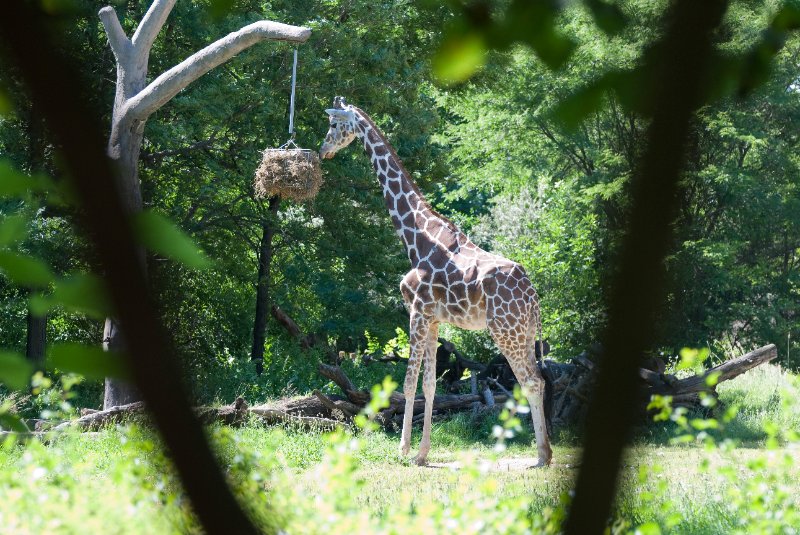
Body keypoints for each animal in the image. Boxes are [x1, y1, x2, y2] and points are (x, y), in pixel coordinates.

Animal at [319, 96, 552, 467]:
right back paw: (546, 453)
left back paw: (542, 456)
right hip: (525, 332)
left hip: (505, 330)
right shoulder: (433, 320)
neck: (416, 238)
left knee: (530, 382)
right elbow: (429, 385)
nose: (323, 150)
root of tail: (532, 295)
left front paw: (402, 450)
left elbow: (408, 384)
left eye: (332, 125)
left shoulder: (416, 312)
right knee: (539, 380)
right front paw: (422, 453)